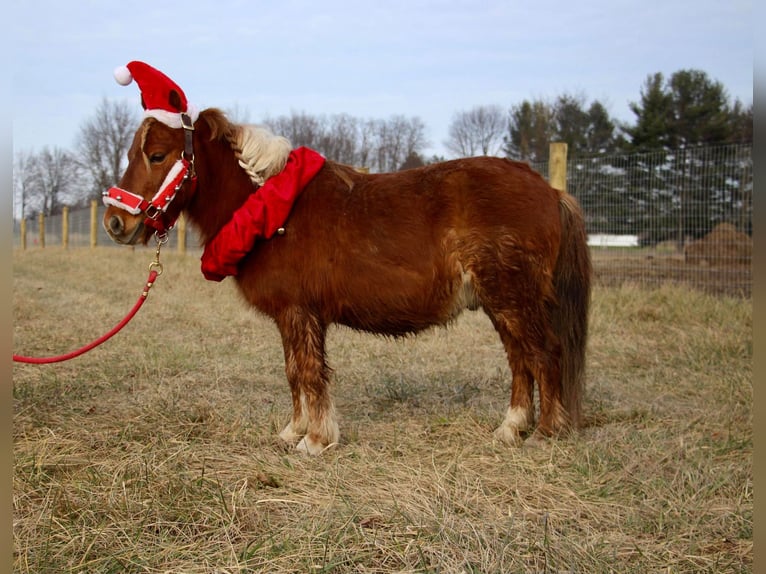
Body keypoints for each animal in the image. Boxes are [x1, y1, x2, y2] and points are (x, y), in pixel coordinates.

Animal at [103, 108, 592, 456]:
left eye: (158, 156)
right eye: (131, 154)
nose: (115, 223)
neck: (270, 209)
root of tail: (550, 191)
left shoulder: (299, 313)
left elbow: (308, 372)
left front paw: (316, 440)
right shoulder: (293, 317)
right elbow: (294, 372)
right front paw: (293, 432)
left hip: (512, 300)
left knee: (544, 355)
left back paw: (544, 434)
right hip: (501, 303)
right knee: (520, 360)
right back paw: (511, 429)